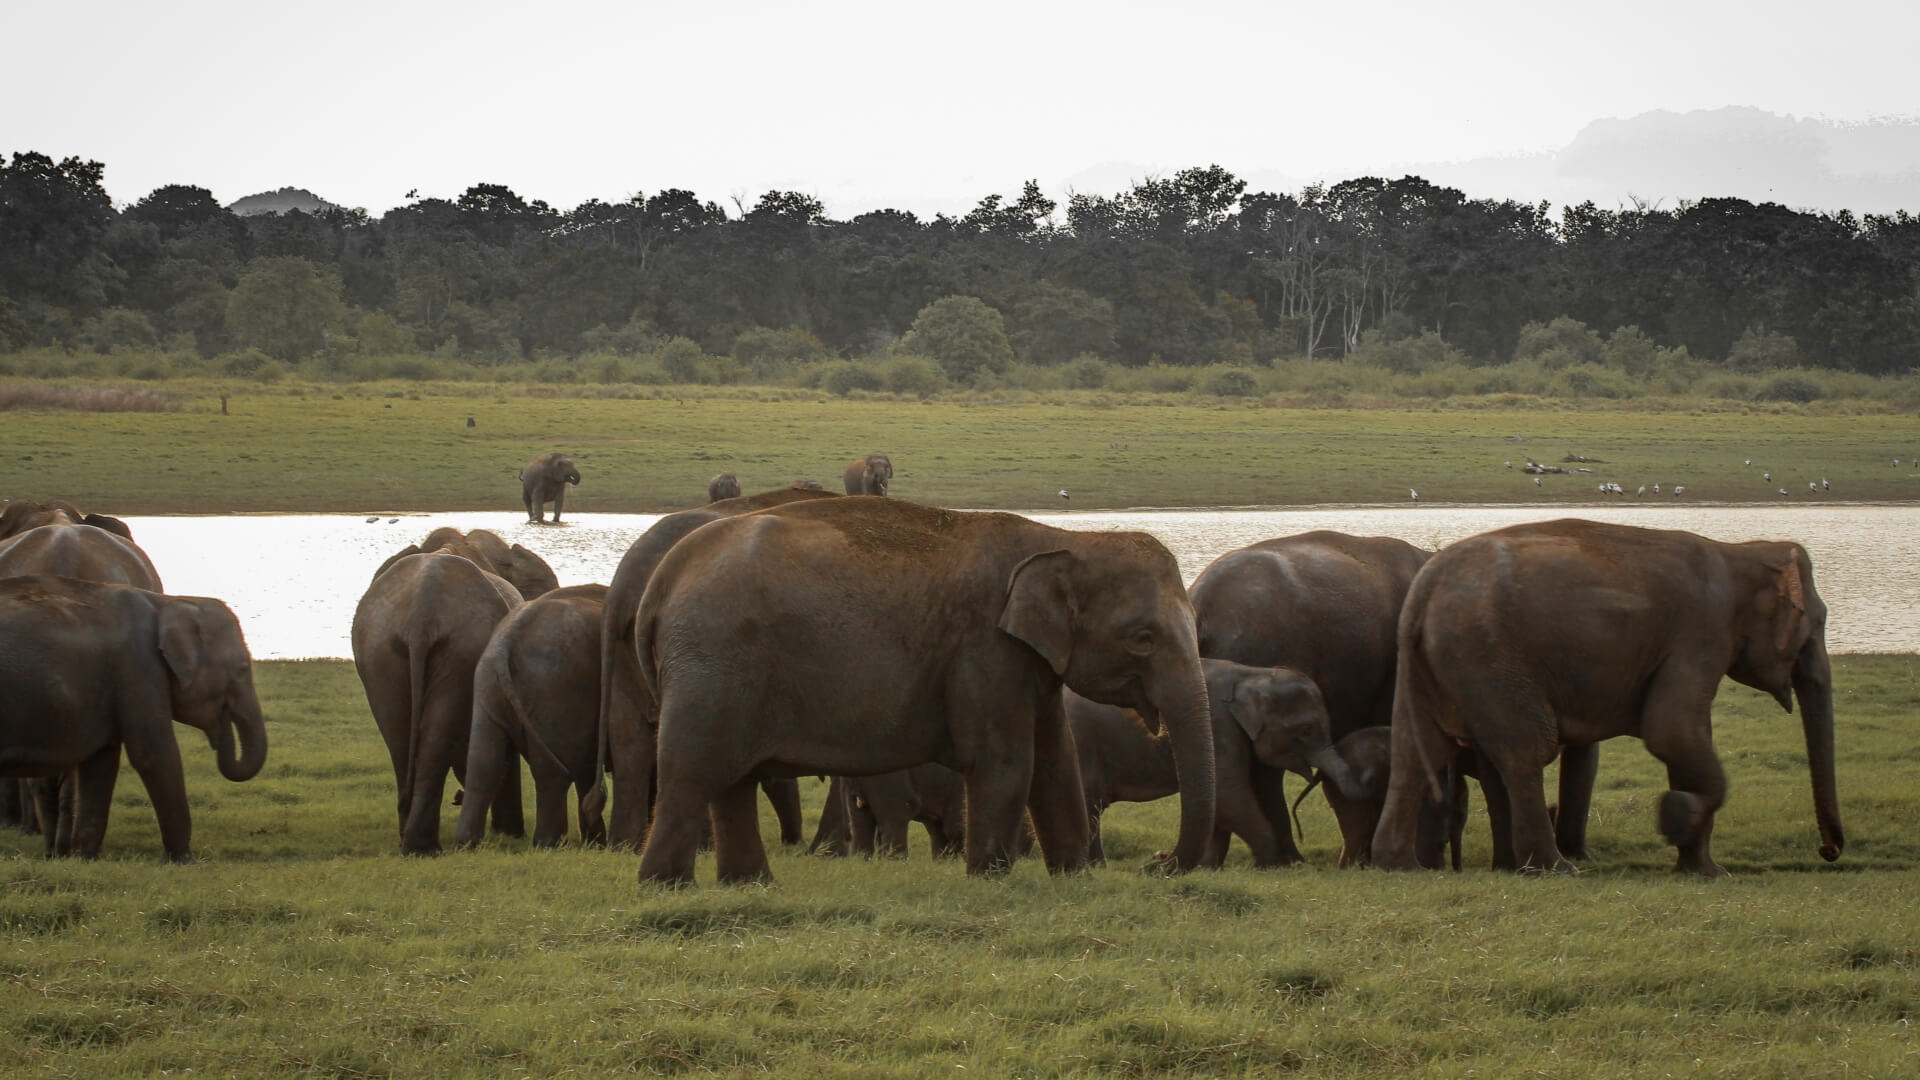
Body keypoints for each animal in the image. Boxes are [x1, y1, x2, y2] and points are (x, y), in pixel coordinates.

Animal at [0, 576, 268, 863]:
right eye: (242, 668)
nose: (222, 722)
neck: (170, 602)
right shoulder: (139, 667)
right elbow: (153, 753)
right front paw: (185, 861)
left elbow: (101, 762)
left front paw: (86, 859)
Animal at [353, 549, 527, 854]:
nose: (458, 798)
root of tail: (422, 610)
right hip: (437, 648)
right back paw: (423, 847)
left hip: (394, 649)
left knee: (402, 738)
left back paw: (414, 845)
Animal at [631, 496, 1217, 885]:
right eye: (1143, 638)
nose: (1158, 862)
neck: (1060, 539)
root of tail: (660, 582)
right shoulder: (984, 648)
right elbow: (1006, 762)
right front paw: (991, 880)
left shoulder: (1029, 660)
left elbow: (1056, 763)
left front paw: (1073, 879)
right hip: (713, 662)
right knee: (693, 773)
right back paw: (667, 886)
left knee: (731, 784)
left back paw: (750, 886)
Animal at [1067, 659, 1356, 868]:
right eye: (1306, 730)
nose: (1156, 858)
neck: (1251, 674)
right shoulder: (1220, 725)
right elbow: (1228, 793)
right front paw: (1269, 865)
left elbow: (1220, 802)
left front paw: (1207, 867)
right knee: (1090, 804)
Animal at [1372, 518, 1844, 877]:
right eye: (1818, 621)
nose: (1829, 851)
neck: (1738, 553)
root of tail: (1423, 590)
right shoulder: (1700, 633)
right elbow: (1671, 732)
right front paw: (1675, 817)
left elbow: (1686, 739)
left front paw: (1706, 871)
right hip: (1489, 659)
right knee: (1527, 752)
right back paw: (1556, 869)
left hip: (1435, 668)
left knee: (1416, 753)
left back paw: (1401, 866)